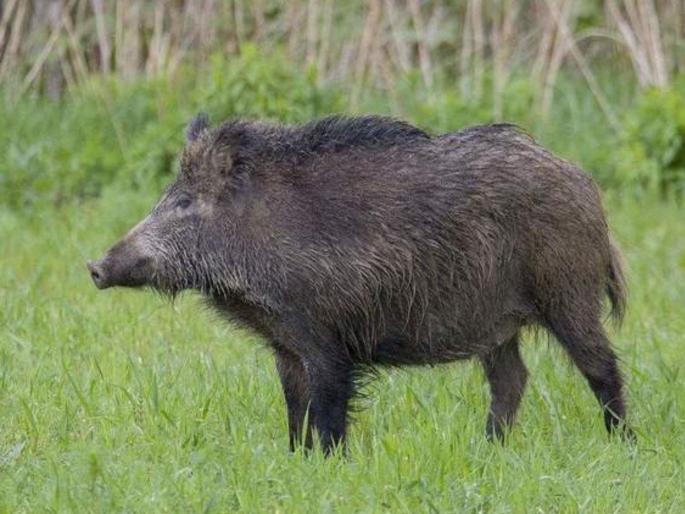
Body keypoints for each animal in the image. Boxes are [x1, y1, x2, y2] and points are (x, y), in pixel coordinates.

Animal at [88, 114, 632, 453]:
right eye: (165, 197)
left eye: (184, 203)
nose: (95, 266)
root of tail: (584, 183)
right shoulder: (286, 344)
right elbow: (295, 408)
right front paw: (295, 460)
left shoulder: (327, 339)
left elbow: (328, 411)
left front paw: (330, 466)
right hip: (496, 322)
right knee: (512, 380)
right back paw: (489, 449)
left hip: (567, 292)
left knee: (601, 366)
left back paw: (623, 442)